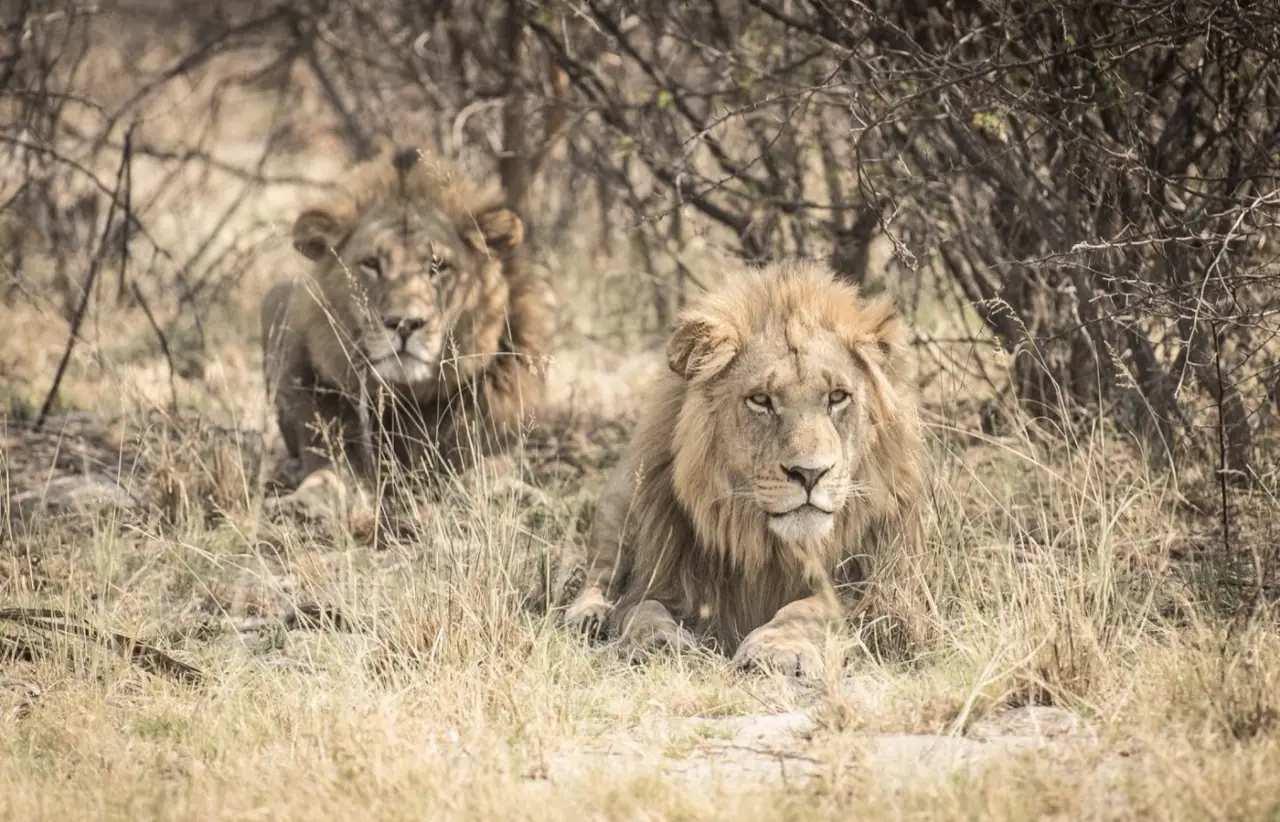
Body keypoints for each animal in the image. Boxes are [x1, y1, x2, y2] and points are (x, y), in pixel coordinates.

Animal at [259, 145, 555, 522]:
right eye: (371, 263)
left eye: (438, 265)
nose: (404, 324)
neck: (408, 399)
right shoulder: (333, 443)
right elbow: (327, 476)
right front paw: (301, 503)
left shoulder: (484, 444)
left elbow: (485, 473)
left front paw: (514, 494)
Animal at [562, 259, 925, 677]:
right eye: (761, 400)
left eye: (837, 397)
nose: (810, 474)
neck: (770, 547)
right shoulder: (660, 579)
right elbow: (641, 607)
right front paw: (656, 641)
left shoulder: (877, 594)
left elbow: (811, 609)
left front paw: (775, 649)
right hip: (619, 501)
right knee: (598, 576)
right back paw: (589, 616)